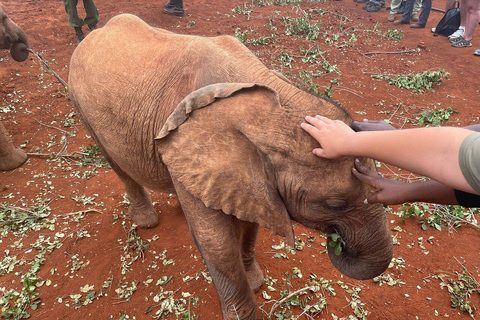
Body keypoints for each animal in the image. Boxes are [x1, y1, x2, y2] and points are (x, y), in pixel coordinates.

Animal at [69, 14, 394, 320]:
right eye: (335, 204)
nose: (337, 242)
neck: (271, 104)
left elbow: (250, 226)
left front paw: (256, 282)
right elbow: (217, 244)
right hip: (82, 107)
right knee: (118, 166)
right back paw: (146, 221)